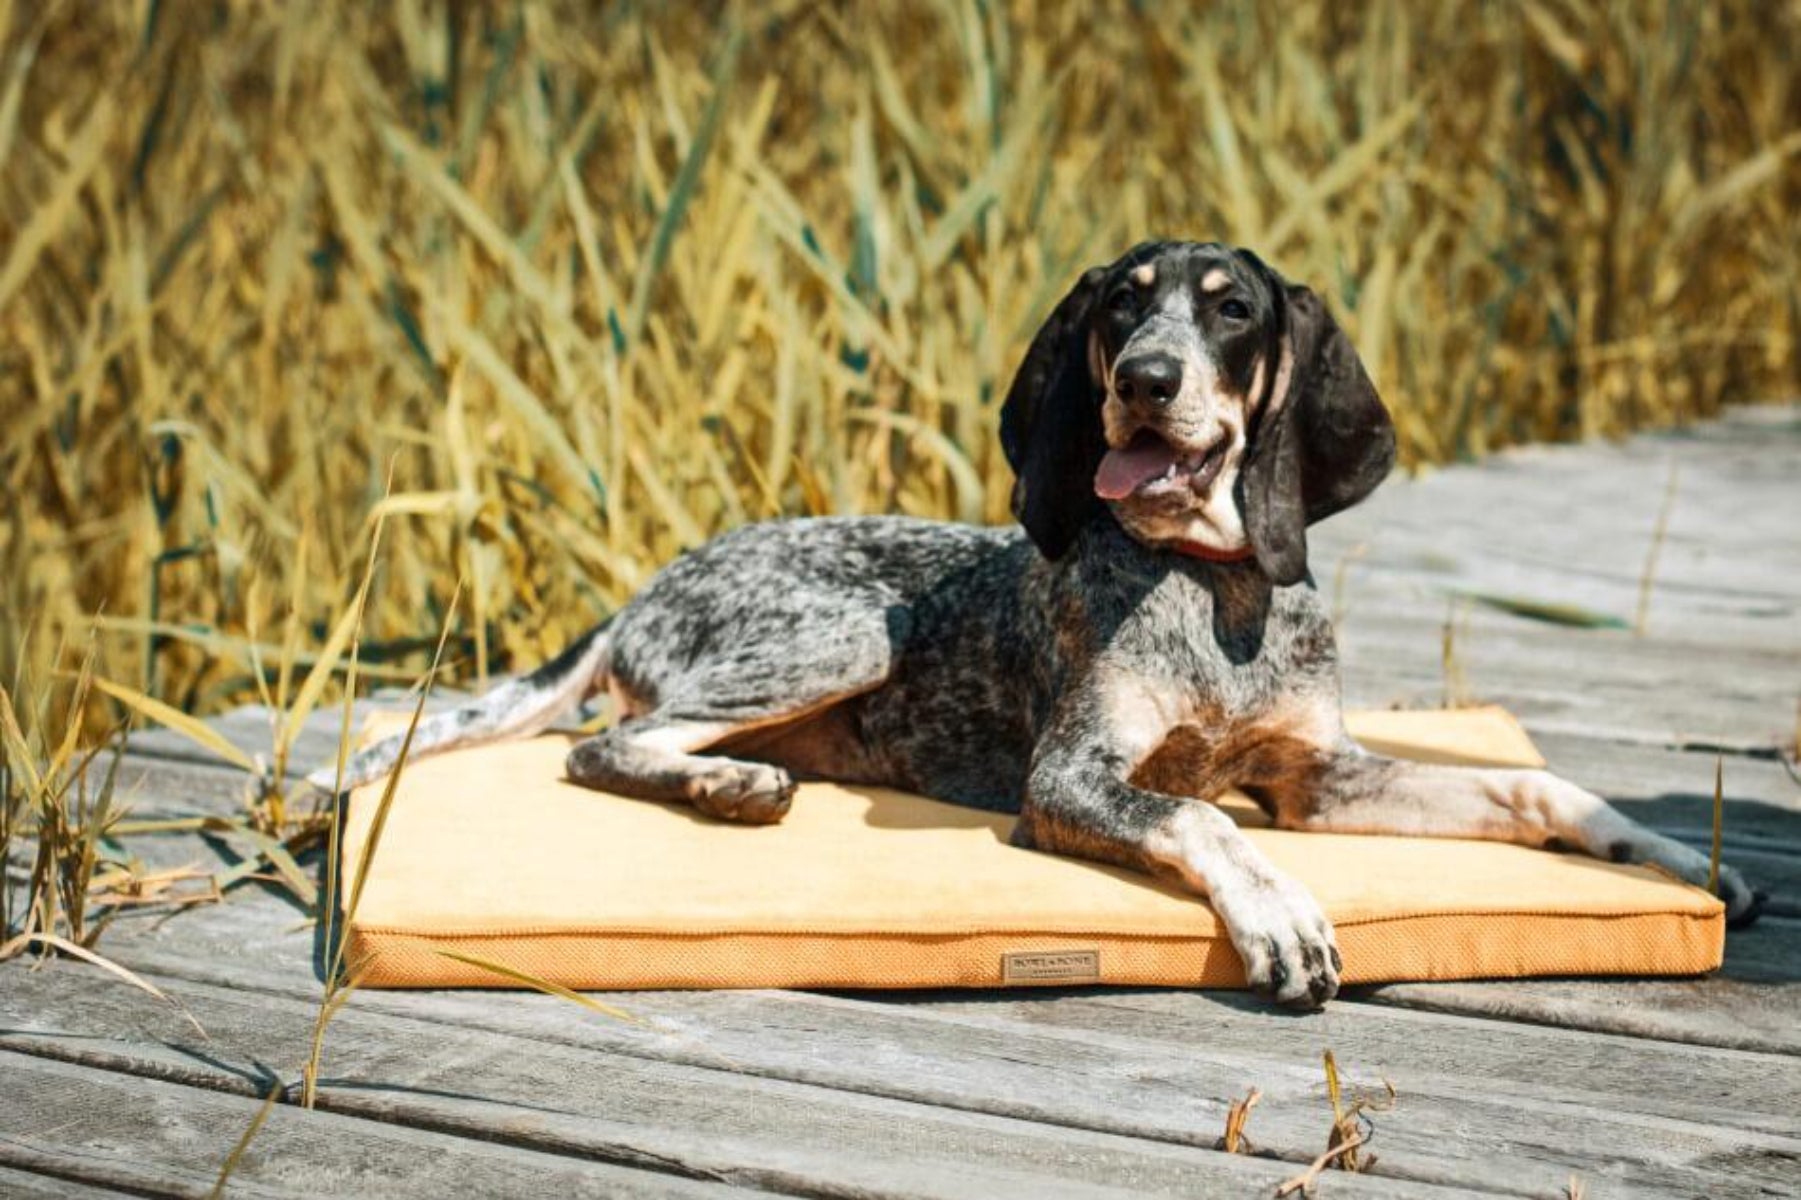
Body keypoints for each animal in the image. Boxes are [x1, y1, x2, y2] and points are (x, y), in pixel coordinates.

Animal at [320, 237, 1757, 1001]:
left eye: (1231, 311)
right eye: (1123, 301)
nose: (1145, 380)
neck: (1217, 592)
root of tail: (649, 582)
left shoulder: (1319, 777)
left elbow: (1533, 790)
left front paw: (1672, 859)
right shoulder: (1067, 777)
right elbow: (1197, 816)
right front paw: (1281, 918)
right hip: (847, 633)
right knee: (605, 743)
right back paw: (729, 788)